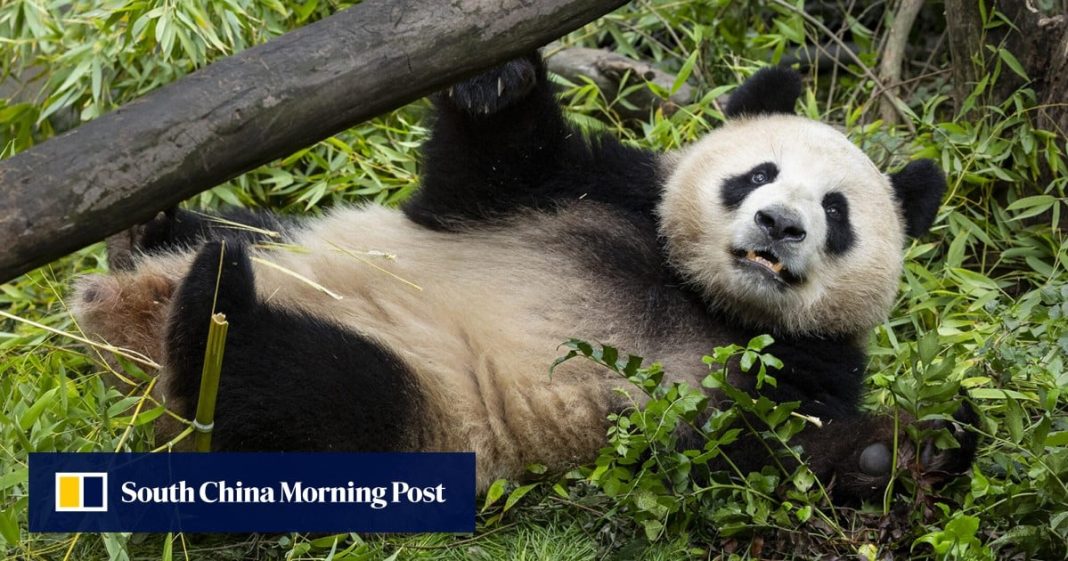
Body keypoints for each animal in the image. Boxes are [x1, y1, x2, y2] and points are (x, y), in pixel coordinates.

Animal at [73, 52, 978, 502]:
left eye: (835, 210)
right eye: (758, 174)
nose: (780, 225)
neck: (697, 293)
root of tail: (126, 328)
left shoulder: (800, 362)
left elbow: (747, 454)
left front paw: (905, 448)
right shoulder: (596, 190)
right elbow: (487, 170)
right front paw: (495, 80)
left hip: (431, 415)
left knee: (301, 391)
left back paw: (208, 319)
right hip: (292, 241)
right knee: (238, 240)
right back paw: (148, 239)